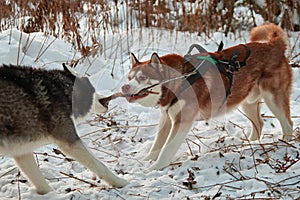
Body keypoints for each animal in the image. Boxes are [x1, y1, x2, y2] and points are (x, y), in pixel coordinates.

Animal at [120, 22, 292, 171]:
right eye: (129, 77)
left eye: (142, 78)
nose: (124, 86)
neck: (181, 80)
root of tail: (273, 45)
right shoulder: (167, 118)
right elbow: (156, 146)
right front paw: (145, 161)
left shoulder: (182, 121)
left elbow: (166, 150)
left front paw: (153, 169)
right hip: (247, 102)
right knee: (259, 123)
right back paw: (250, 144)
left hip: (273, 99)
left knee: (288, 123)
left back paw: (286, 144)